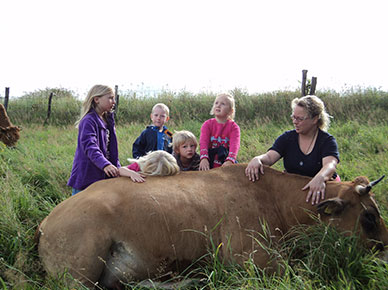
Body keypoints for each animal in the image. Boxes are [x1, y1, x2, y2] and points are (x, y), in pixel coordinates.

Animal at [36, 164, 388, 288]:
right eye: (370, 216)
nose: (386, 252)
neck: (273, 200)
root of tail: (47, 221)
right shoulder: (254, 260)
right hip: (77, 277)